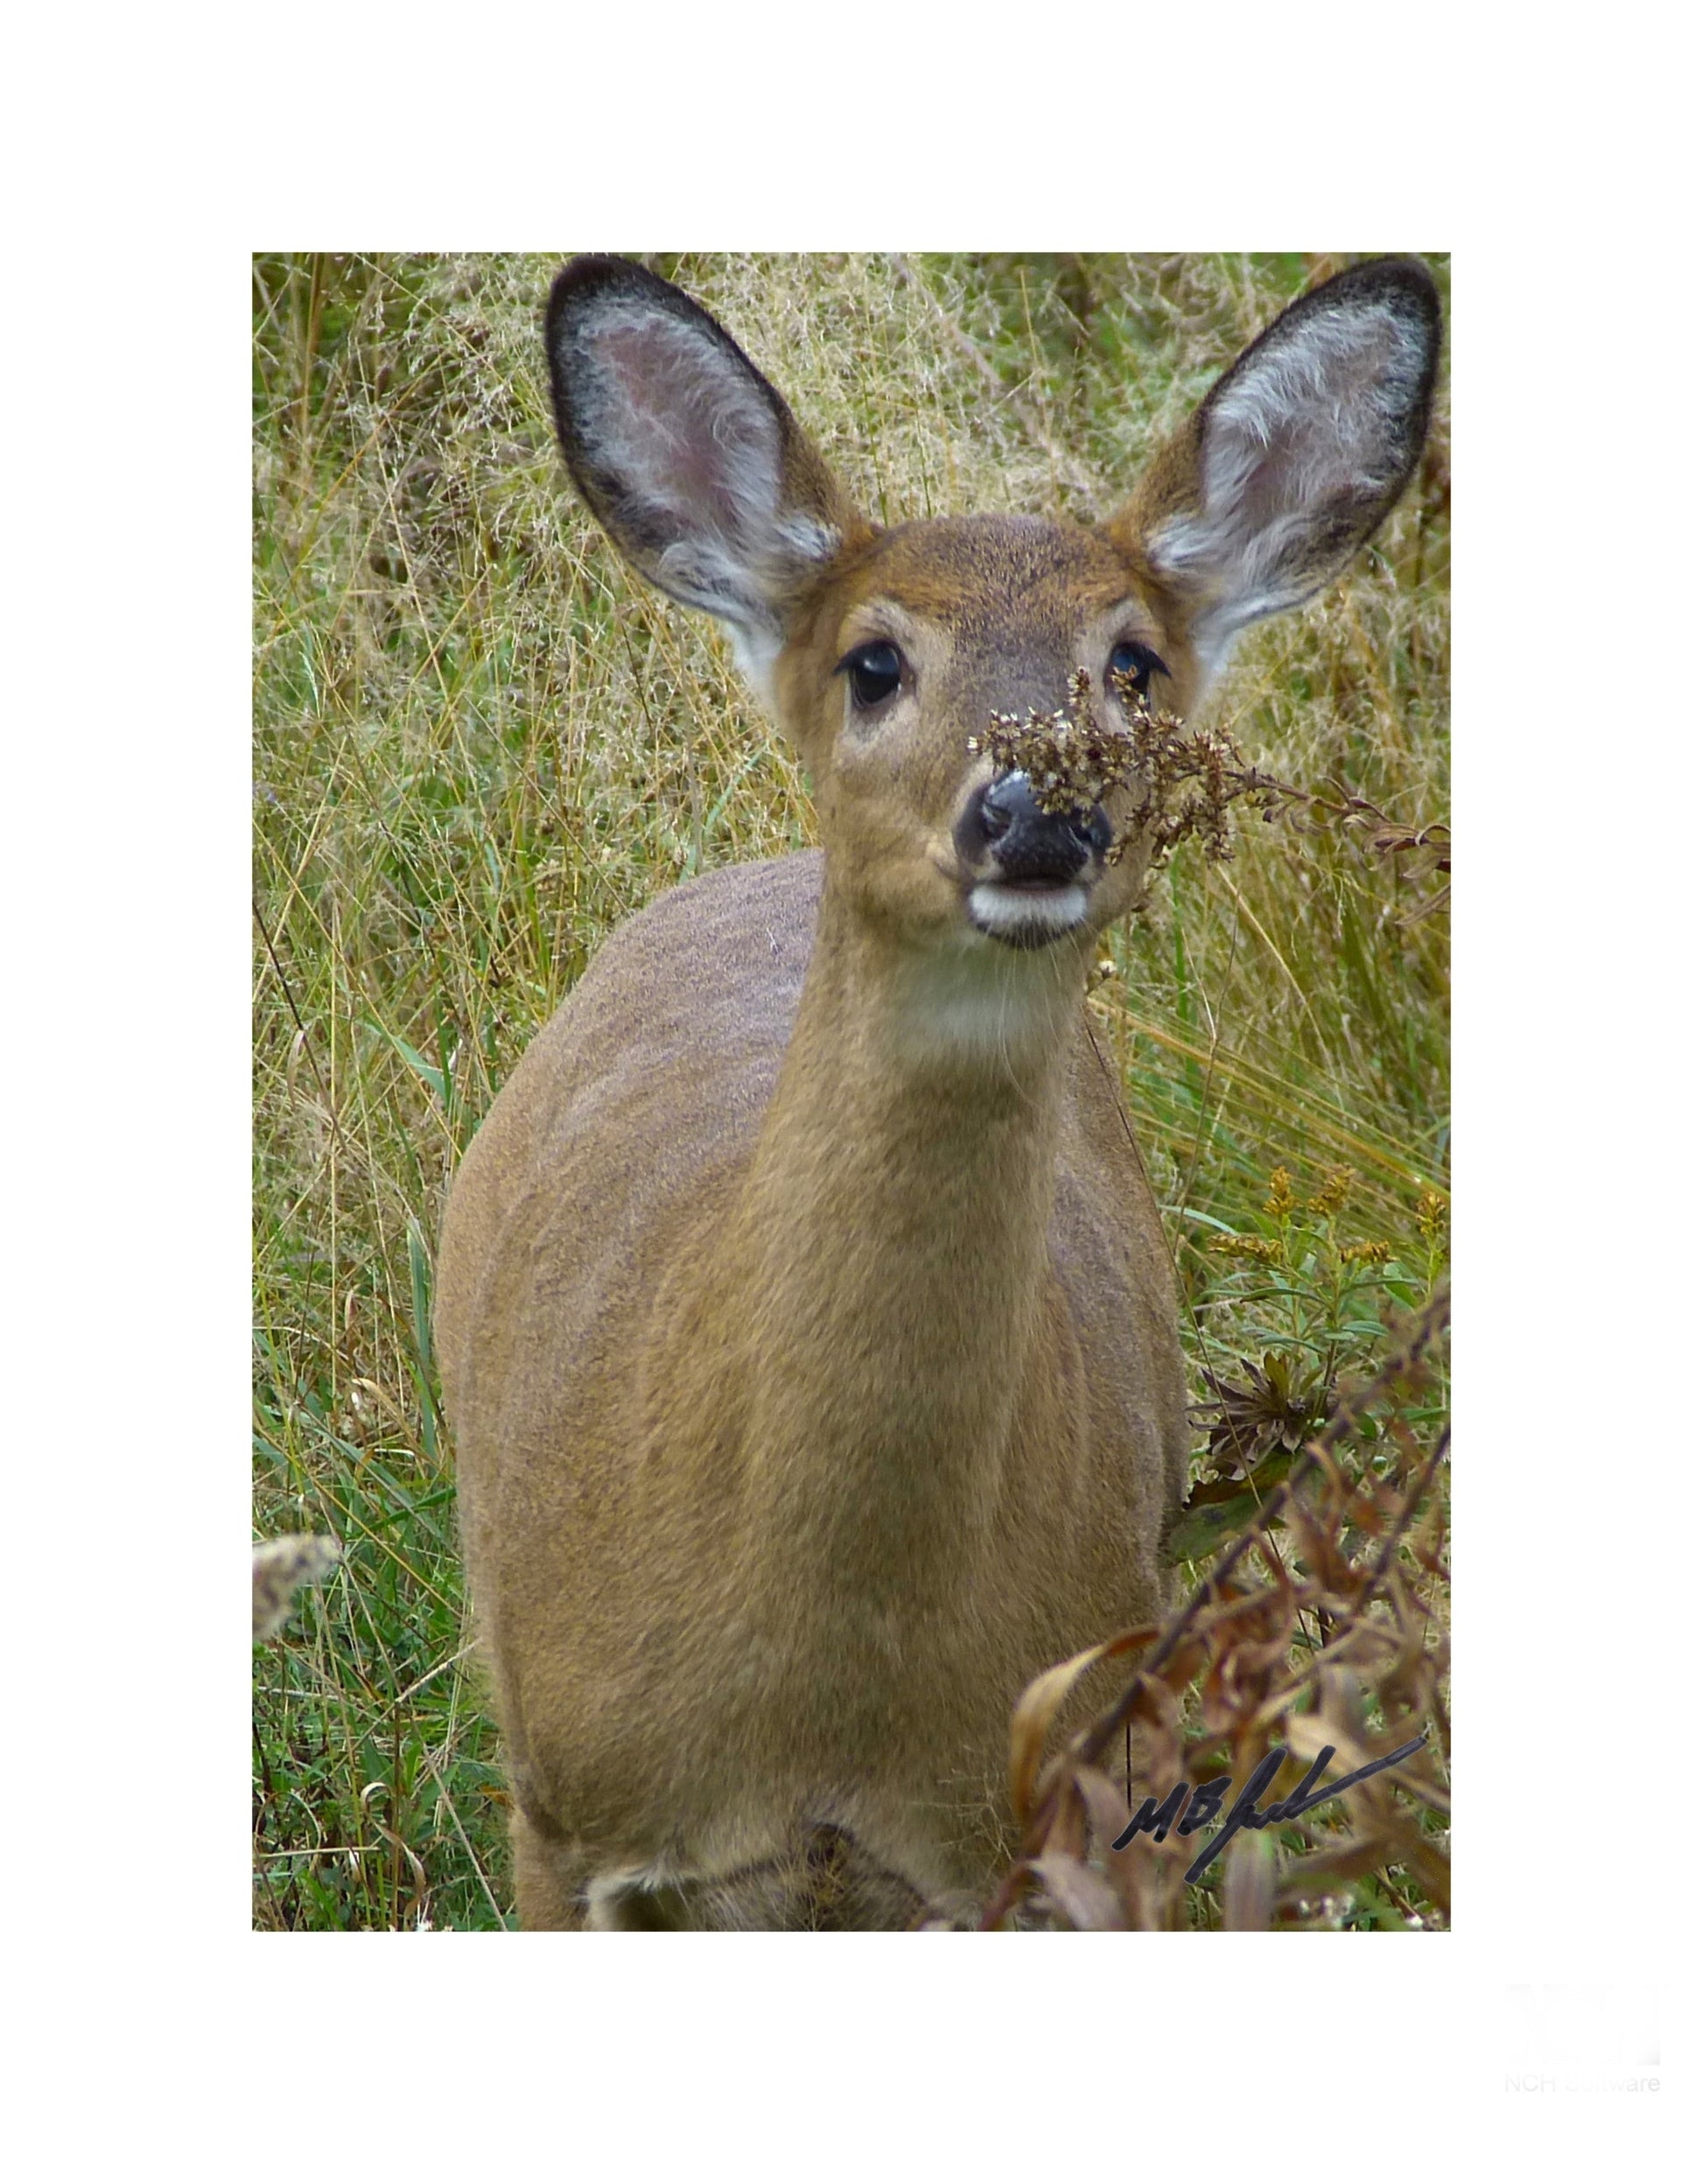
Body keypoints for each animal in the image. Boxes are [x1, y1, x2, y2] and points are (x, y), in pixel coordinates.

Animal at [433, 255, 1441, 1929]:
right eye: (874, 662)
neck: (825, 1695)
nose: (1036, 809)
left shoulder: (1053, 1813)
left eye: (1132, 663)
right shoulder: (560, 1811)